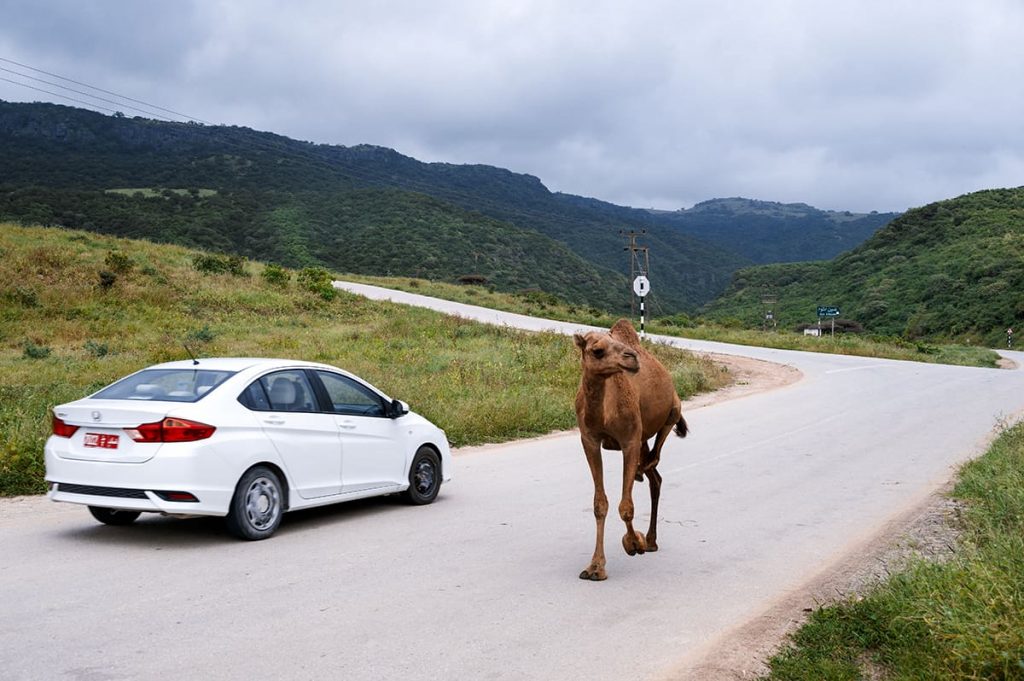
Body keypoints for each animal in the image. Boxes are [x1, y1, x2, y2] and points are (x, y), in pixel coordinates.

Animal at [577, 319, 688, 577]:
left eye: (615, 342)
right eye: (597, 350)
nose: (632, 358)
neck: (602, 413)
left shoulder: (629, 440)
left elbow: (626, 506)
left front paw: (634, 543)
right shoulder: (589, 440)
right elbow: (599, 504)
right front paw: (595, 567)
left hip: (672, 410)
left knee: (655, 456)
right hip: (643, 438)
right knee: (655, 477)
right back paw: (652, 540)